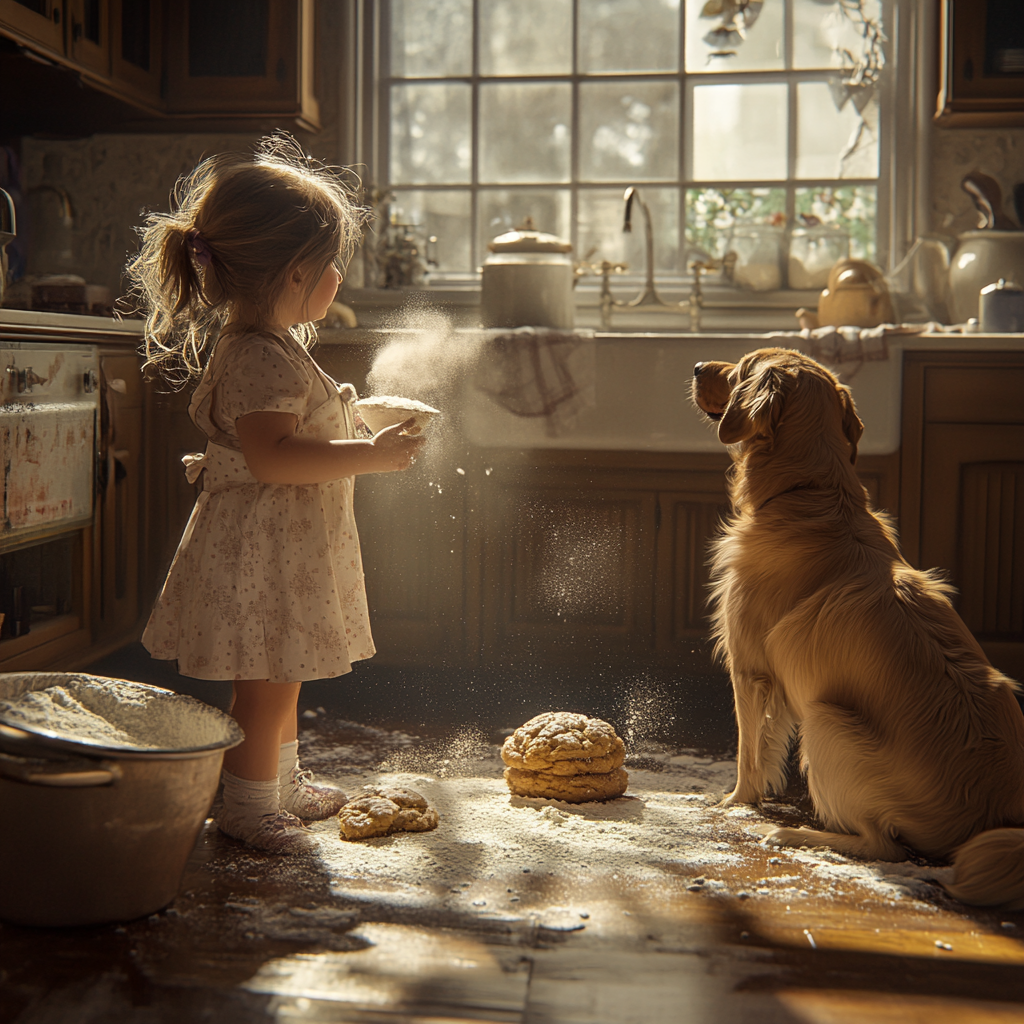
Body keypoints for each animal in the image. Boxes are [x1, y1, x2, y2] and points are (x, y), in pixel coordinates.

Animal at [692, 348, 1024, 909]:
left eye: (738, 366)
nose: (695, 367)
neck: (808, 492)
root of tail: (992, 814)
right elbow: (767, 745)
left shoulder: (750, 667)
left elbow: (747, 754)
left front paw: (734, 802)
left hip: (827, 721)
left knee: (882, 844)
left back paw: (793, 832)